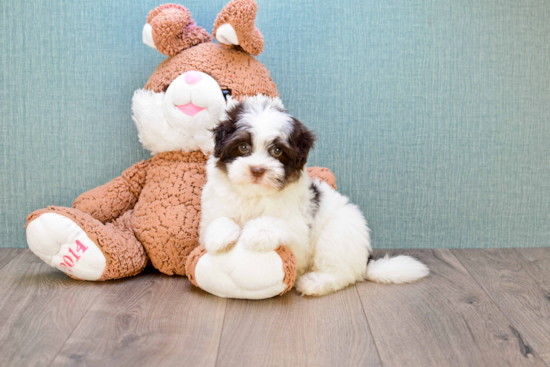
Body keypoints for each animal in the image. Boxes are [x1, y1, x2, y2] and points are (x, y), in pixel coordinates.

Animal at [199, 95, 432, 296]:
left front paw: (256, 233)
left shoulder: (297, 228)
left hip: (335, 236)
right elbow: (218, 219)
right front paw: (219, 237)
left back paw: (315, 283)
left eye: (277, 151)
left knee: (342, 274)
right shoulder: (214, 206)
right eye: (243, 147)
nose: (257, 169)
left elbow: (277, 222)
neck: (254, 195)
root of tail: (366, 260)